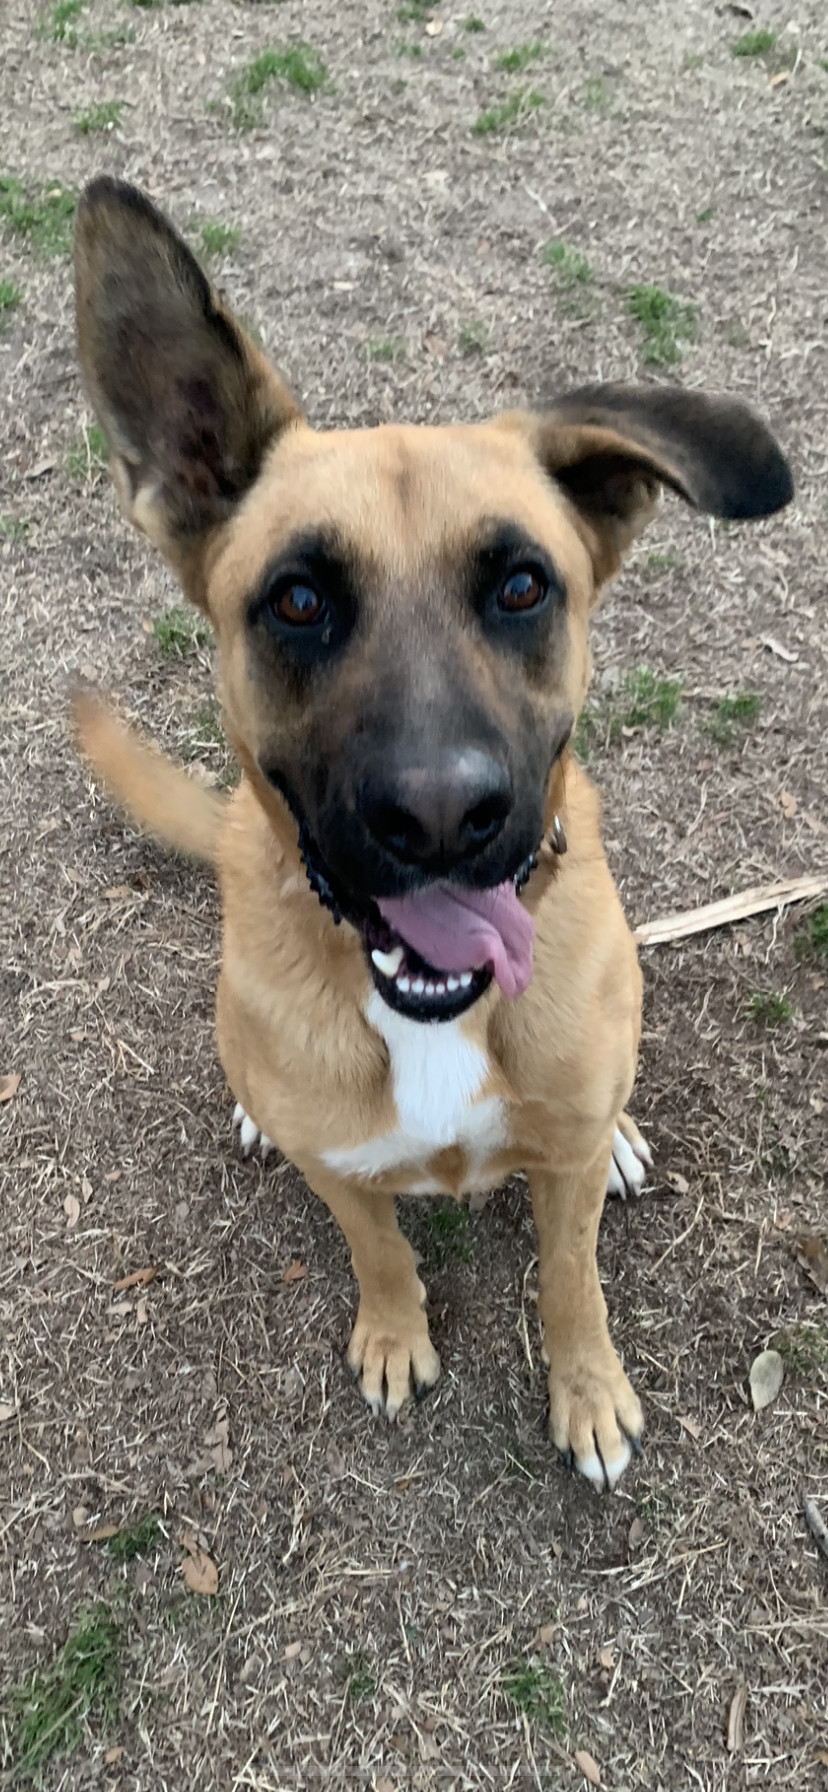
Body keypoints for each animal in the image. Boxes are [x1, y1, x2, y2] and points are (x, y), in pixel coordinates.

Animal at [74, 181, 792, 1490]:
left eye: (522, 584)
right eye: (298, 599)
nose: (444, 817)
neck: (435, 1012)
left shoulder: (562, 1172)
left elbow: (571, 1278)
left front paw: (589, 1392)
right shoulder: (346, 1177)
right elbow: (381, 1250)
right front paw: (397, 1334)